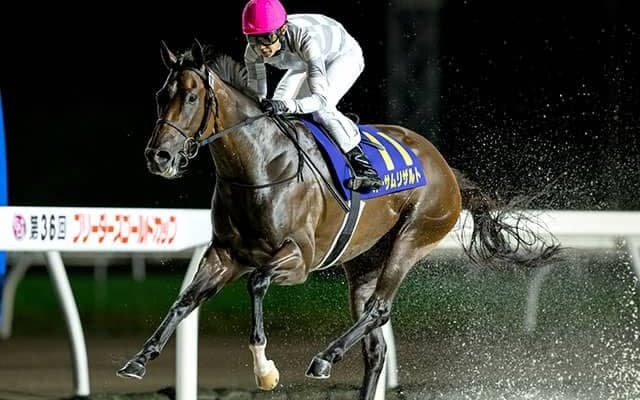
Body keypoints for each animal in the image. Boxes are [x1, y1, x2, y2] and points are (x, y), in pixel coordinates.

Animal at [117, 39, 560, 400]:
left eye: (192, 97)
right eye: (161, 95)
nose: (159, 156)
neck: (259, 167)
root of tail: (446, 168)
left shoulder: (298, 259)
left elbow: (257, 283)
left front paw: (265, 369)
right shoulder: (224, 254)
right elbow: (184, 300)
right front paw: (139, 359)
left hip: (414, 236)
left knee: (379, 309)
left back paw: (325, 357)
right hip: (364, 263)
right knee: (375, 347)